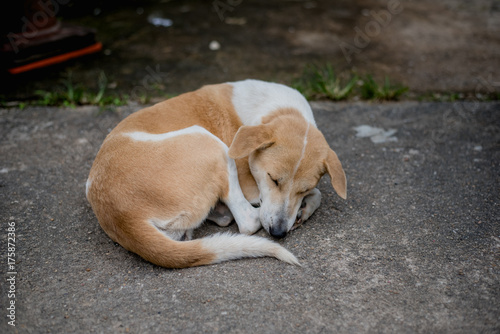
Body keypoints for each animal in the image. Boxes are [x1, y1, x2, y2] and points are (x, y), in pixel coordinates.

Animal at [86, 79, 346, 268]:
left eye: (302, 188)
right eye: (273, 179)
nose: (279, 233)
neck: (280, 110)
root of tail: (122, 217)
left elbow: (316, 193)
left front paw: (304, 207)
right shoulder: (251, 186)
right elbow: (318, 194)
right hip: (209, 142)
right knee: (248, 222)